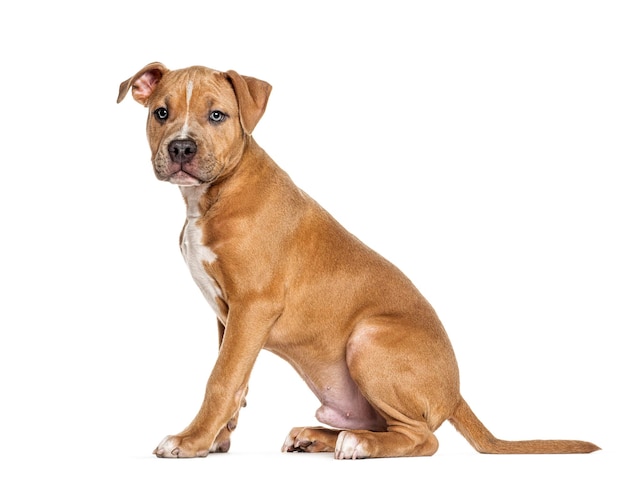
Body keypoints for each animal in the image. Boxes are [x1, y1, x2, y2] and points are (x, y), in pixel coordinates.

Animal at [117, 63, 600, 460]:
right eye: (161, 113)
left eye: (217, 115)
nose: (181, 148)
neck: (213, 194)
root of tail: (455, 394)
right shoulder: (228, 316)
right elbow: (236, 376)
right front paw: (217, 437)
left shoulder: (252, 306)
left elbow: (221, 378)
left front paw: (191, 440)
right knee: (385, 425)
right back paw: (319, 437)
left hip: (368, 339)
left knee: (423, 438)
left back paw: (359, 445)